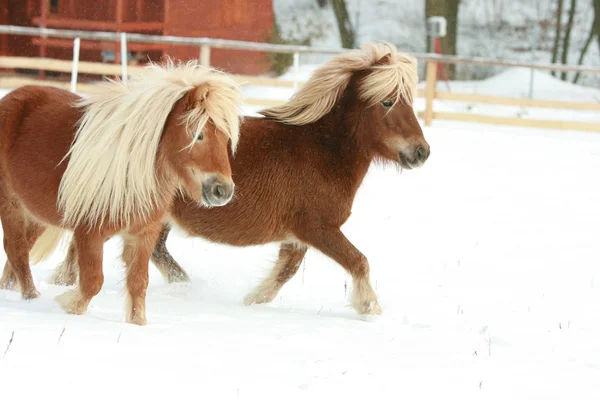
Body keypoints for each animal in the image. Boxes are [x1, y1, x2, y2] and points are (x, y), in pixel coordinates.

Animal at [1, 60, 244, 324]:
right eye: (198, 135)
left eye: (226, 138)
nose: (222, 190)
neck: (132, 169)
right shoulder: (89, 232)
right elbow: (92, 282)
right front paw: (69, 307)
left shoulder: (142, 234)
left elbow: (138, 283)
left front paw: (137, 324)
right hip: (11, 204)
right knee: (16, 249)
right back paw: (31, 297)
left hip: (36, 214)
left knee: (21, 250)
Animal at [49, 42, 428, 318]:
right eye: (388, 102)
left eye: (408, 101)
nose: (422, 152)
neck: (320, 149)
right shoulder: (317, 228)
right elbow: (357, 260)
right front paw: (369, 307)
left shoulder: (297, 236)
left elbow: (286, 270)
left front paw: (253, 299)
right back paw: (64, 281)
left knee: (152, 250)